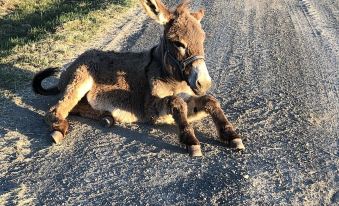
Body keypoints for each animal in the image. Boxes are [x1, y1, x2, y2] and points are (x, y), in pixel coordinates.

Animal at [31, 0, 244, 156]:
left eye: (202, 40)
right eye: (178, 43)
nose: (204, 82)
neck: (169, 75)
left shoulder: (191, 98)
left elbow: (209, 100)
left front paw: (231, 134)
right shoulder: (151, 110)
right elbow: (176, 103)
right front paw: (190, 140)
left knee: (76, 108)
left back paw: (107, 117)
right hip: (79, 80)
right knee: (56, 109)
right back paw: (59, 129)